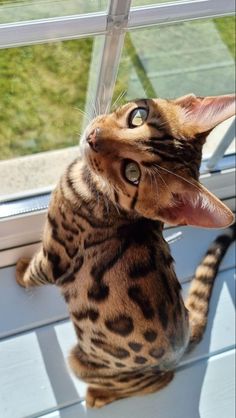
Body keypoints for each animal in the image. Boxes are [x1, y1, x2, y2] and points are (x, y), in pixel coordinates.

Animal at [15, 93, 235, 406]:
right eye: (138, 116)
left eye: (132, 173)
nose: (93, 137)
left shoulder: (57, 256)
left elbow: (33, 273)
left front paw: (19, 270)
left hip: (83, 363)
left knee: (158, 382)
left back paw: (98, 395)